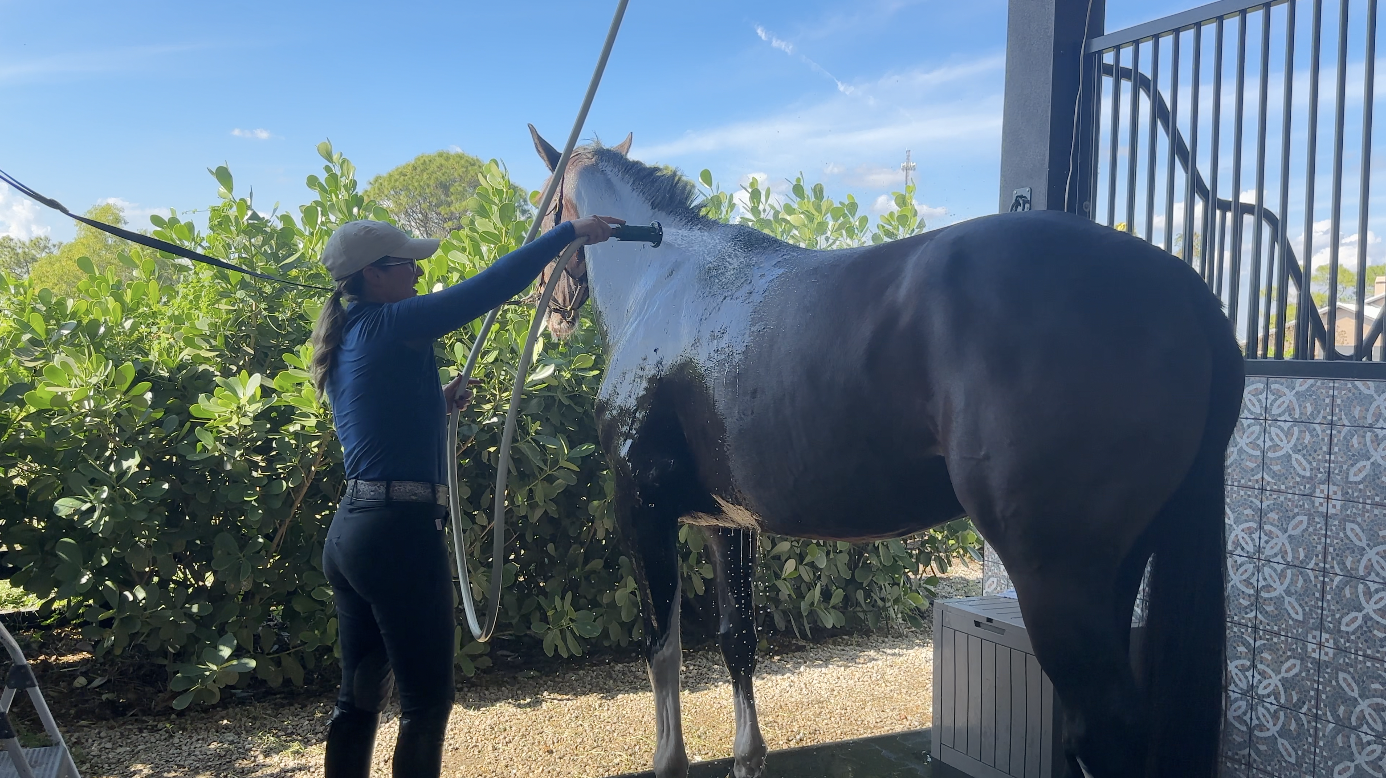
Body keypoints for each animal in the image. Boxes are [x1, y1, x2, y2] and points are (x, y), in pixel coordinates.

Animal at [525, 126, 1241, 778]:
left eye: (546, 203)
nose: (550, 312)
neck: (665, 280)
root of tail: (1184, 286)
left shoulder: (642, 508)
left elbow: (663, 649)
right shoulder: (727, 524)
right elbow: (738, 640)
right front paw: (747, 758)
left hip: (1058, 580)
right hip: (1123, 569)